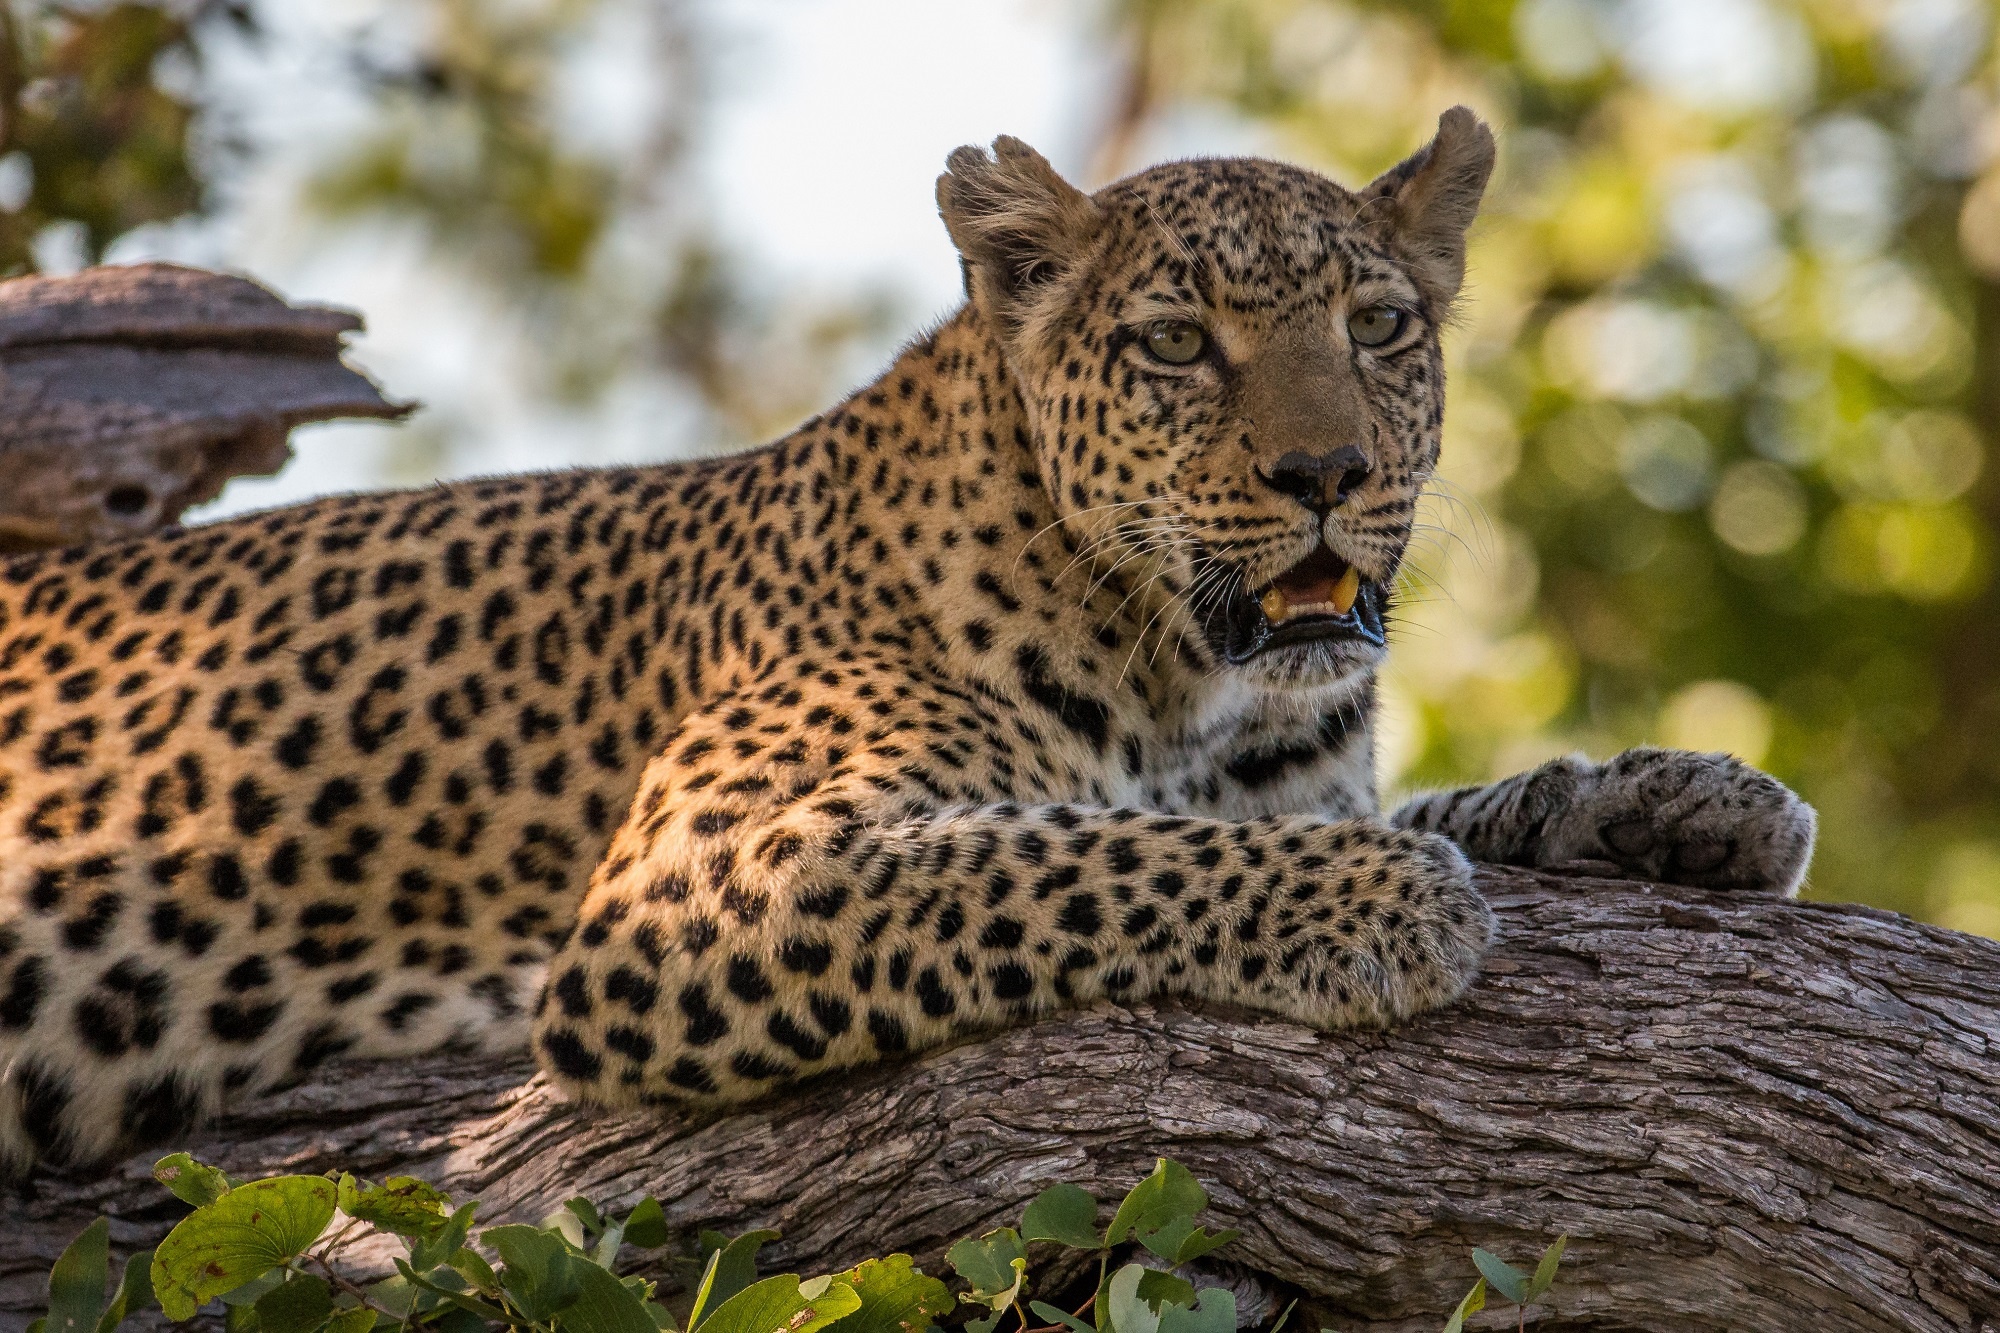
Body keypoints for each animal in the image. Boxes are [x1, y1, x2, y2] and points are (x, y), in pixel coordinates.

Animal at [0, 111, 1816, 1176]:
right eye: (1177, 345)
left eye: (1378, 327)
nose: (1329, 476)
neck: (1195, 684)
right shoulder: (696, 884)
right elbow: (1076, 855)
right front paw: (1377, 905)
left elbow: (1434, 799)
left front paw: (1688, 797)